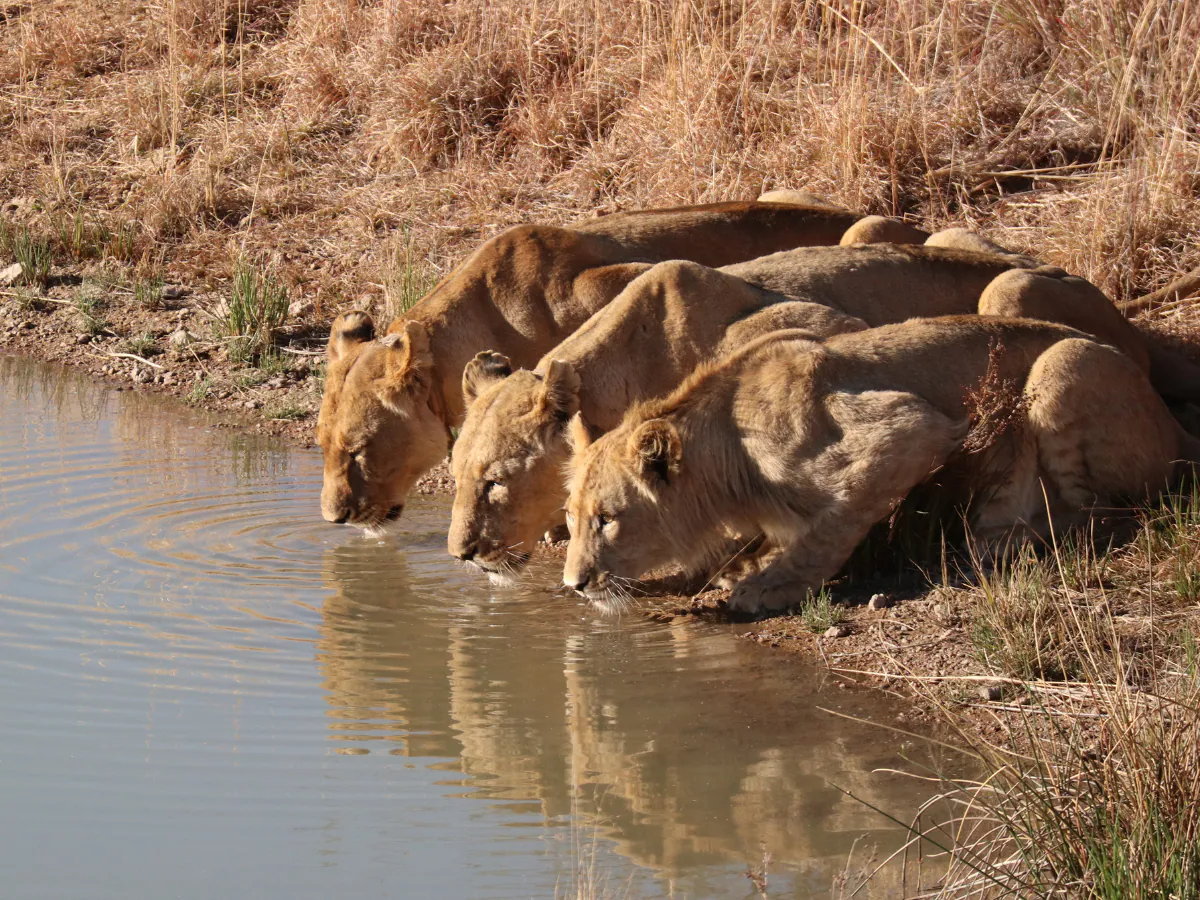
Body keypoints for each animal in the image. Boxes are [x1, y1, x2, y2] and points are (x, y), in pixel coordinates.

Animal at [562, 316, 1197, 615]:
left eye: (606, 519)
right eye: (570, 518)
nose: (573, 585)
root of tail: (1177, 424)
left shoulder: (911, 427)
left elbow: (828, 529)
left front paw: (766, 585)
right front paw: (747, 564)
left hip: (1061, 367)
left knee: (1106, 512)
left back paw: (1000, 535)